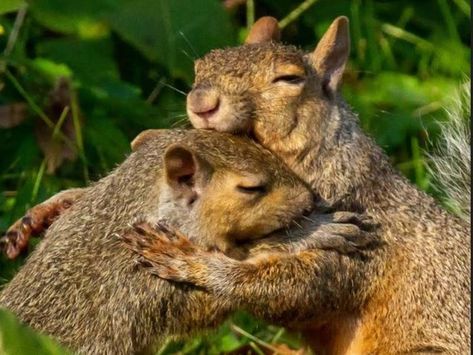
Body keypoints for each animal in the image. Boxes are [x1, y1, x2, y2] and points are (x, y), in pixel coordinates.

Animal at [124, 16, 468, 354]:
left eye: (289, 79)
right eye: (200, 66)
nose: (201, 103)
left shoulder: (365, 239)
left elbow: (293, 288)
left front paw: (189, 260)